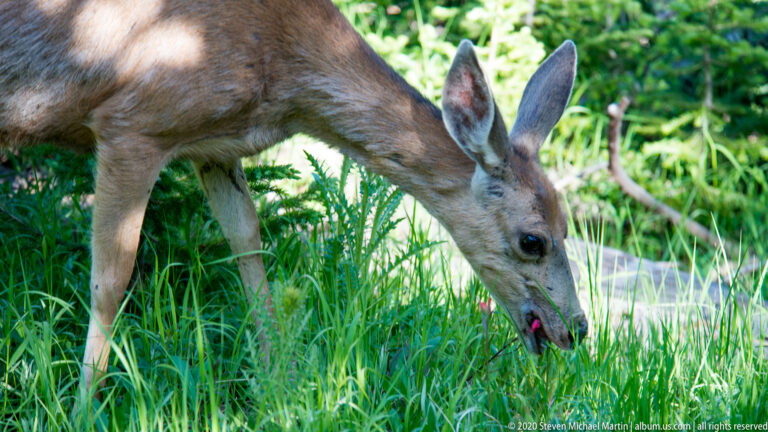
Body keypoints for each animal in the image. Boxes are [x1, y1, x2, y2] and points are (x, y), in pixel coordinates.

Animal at [0, 0, 588, 394]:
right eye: (533, 240)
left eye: (568, 228)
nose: (577, 329)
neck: (283, 69)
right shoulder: (132, 125)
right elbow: (111, 280)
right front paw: (85, 403)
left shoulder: (213, 148)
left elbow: (249, 246)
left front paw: (279, 378)